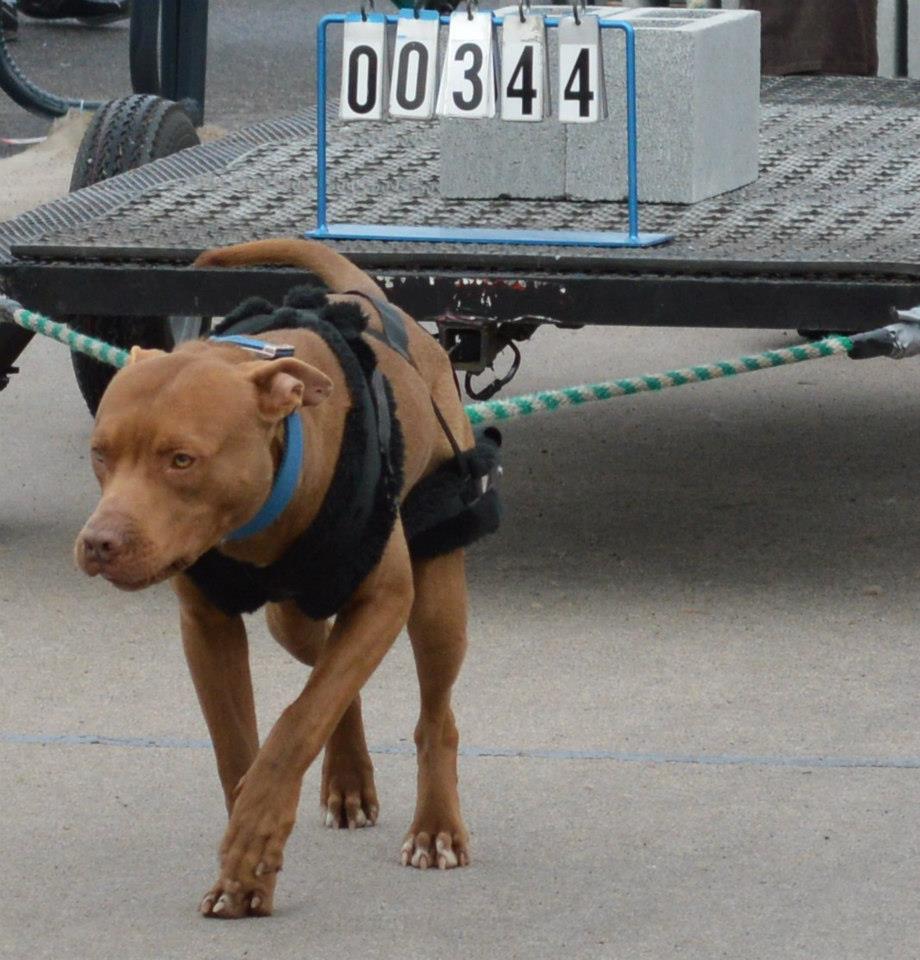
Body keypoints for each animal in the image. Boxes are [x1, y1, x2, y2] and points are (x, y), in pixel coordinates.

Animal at [74, 236, 500, 920]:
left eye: (182, 460)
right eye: (100, 453)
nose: (99, 543)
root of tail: (372, 298)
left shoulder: (384, 600)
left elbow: (295, 728)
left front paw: (254, 836)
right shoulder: (208, 626)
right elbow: (242, 745)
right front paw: (245, 869)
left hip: (436, 599)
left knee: (432, 714)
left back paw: (435, 827)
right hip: (290, 617)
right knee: (331, 671)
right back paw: (347, 779)